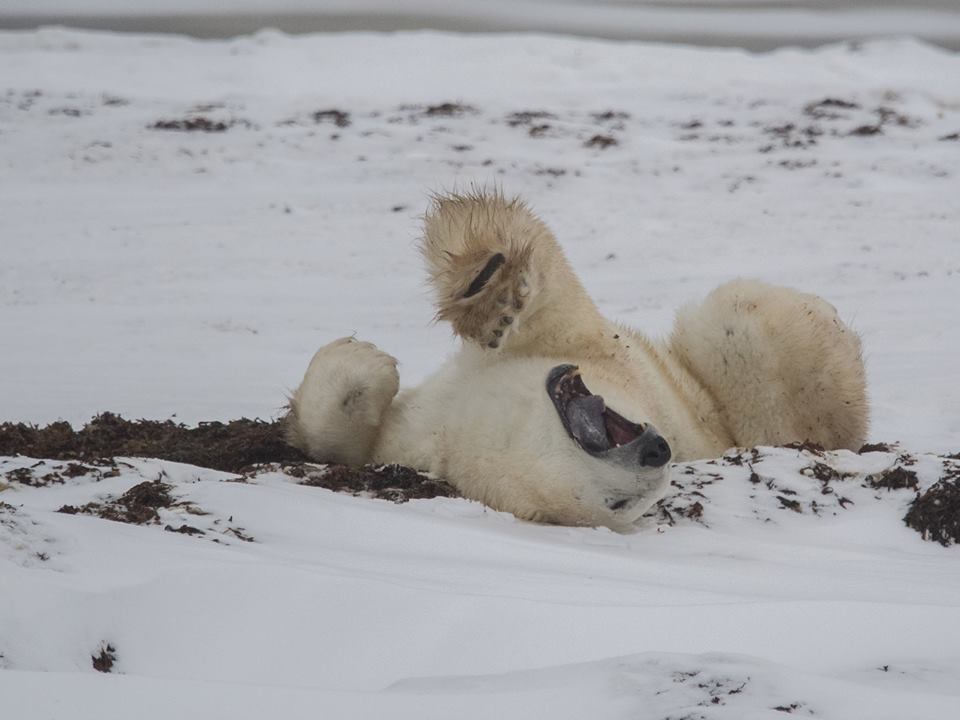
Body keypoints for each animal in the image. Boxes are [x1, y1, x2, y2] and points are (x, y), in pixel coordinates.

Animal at [286, 190, 868, 531]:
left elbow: (559, 300)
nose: (656, 450)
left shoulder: (610, 358)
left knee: (743, 319)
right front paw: (485, 286)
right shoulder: (421, 431)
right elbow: (344, 440)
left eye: (620, 505)